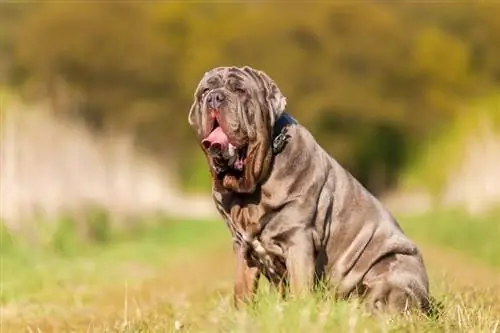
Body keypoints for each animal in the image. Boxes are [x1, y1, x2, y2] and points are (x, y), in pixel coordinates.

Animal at [187, 65, 430, 314]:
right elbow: (242, 290)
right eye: (205, 91)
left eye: (239, 90)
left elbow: (299, 286)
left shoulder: (298, 239)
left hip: (393, 268)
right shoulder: (242, 247)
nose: (214, 97)